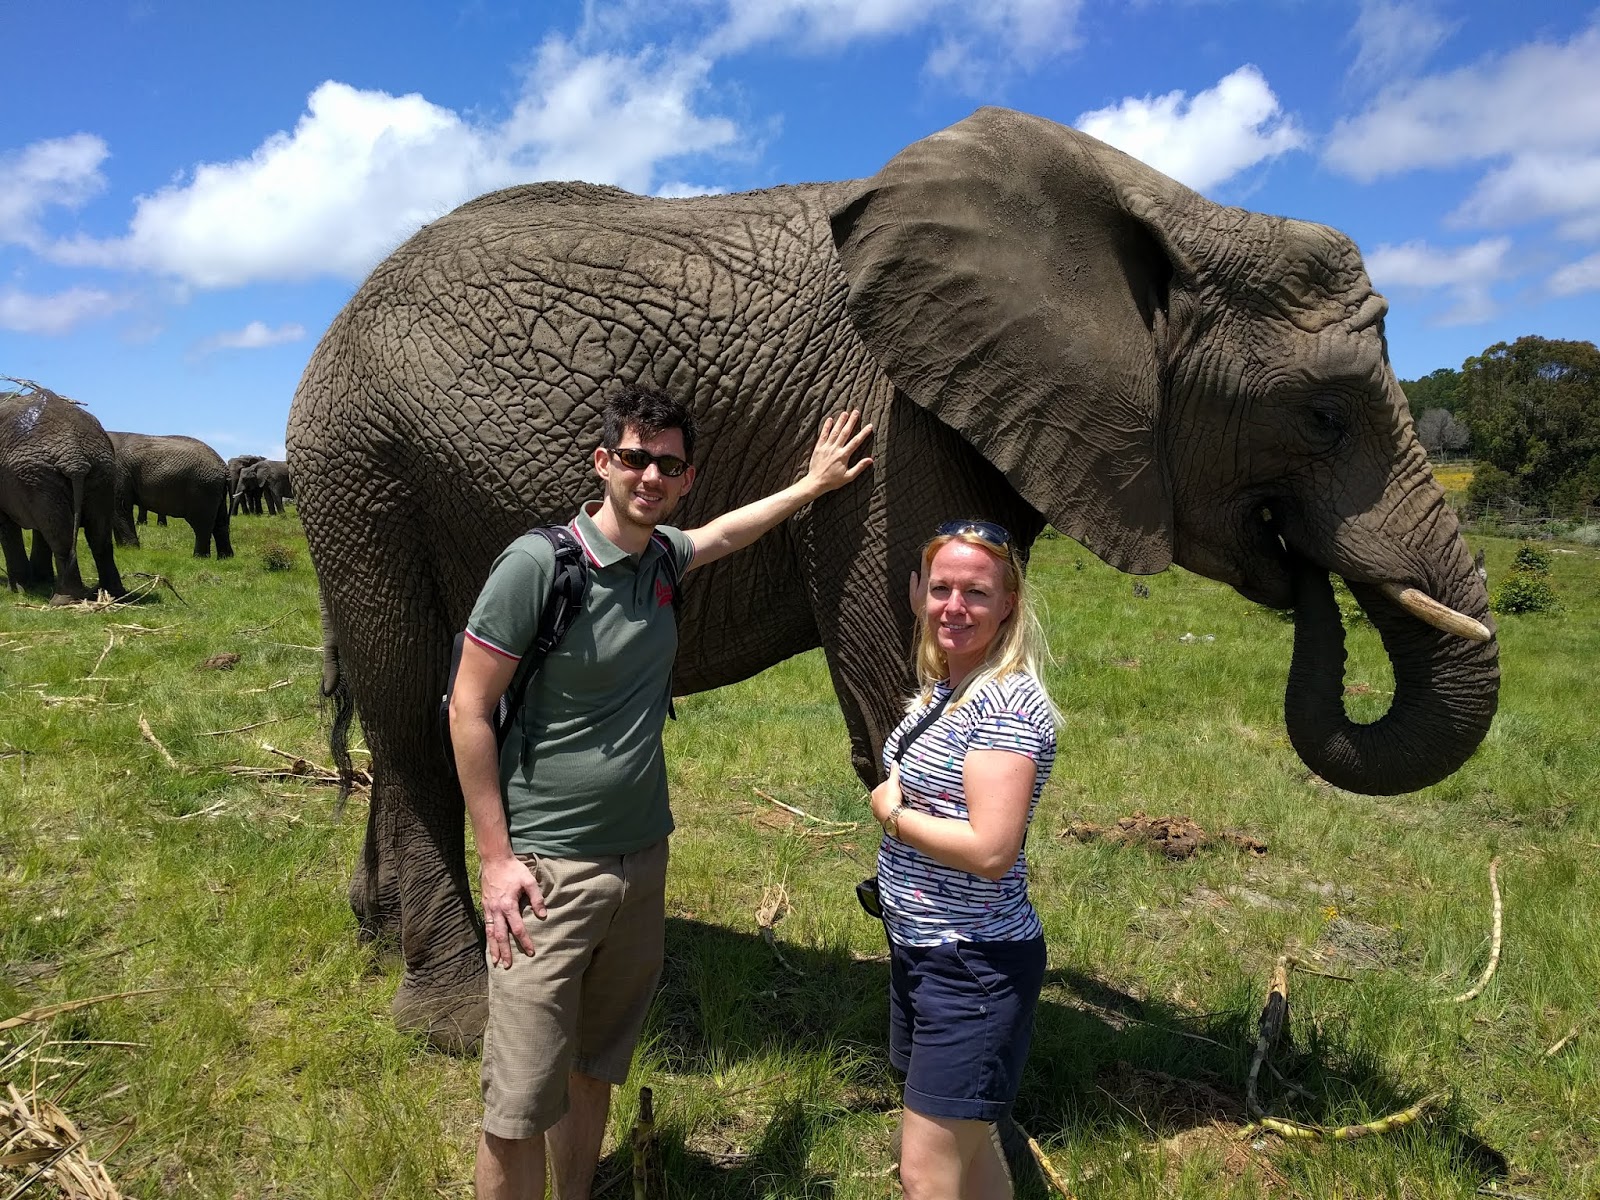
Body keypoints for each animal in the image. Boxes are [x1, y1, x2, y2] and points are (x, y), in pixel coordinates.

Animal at [0, 390, 126, 604]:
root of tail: (75, 457)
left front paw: (20, 589)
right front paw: (40, 582)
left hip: (37, 474)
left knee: (61, 538)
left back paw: (63, 600)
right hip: (101, 472)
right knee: (99, 538)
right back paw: (114, 595)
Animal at [109, 435, 233, 563]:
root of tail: (224, 469)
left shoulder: (119, 474)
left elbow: (121, 509)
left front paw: (131, 550)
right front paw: (124, 549)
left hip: (203, 488)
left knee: (201, 524)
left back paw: (199, 558)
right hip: (216, 491)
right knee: (220, 522)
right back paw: (225, 558)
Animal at [284, 105, 1497, 1049]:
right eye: (1322, 414)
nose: (1299, 570)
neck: (1161, 205)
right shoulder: (893, 414)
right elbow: (891, 679)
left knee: (440, 703)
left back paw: (380, 934)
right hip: (359, 465)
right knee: (415, 709)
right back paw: (455, 1020)